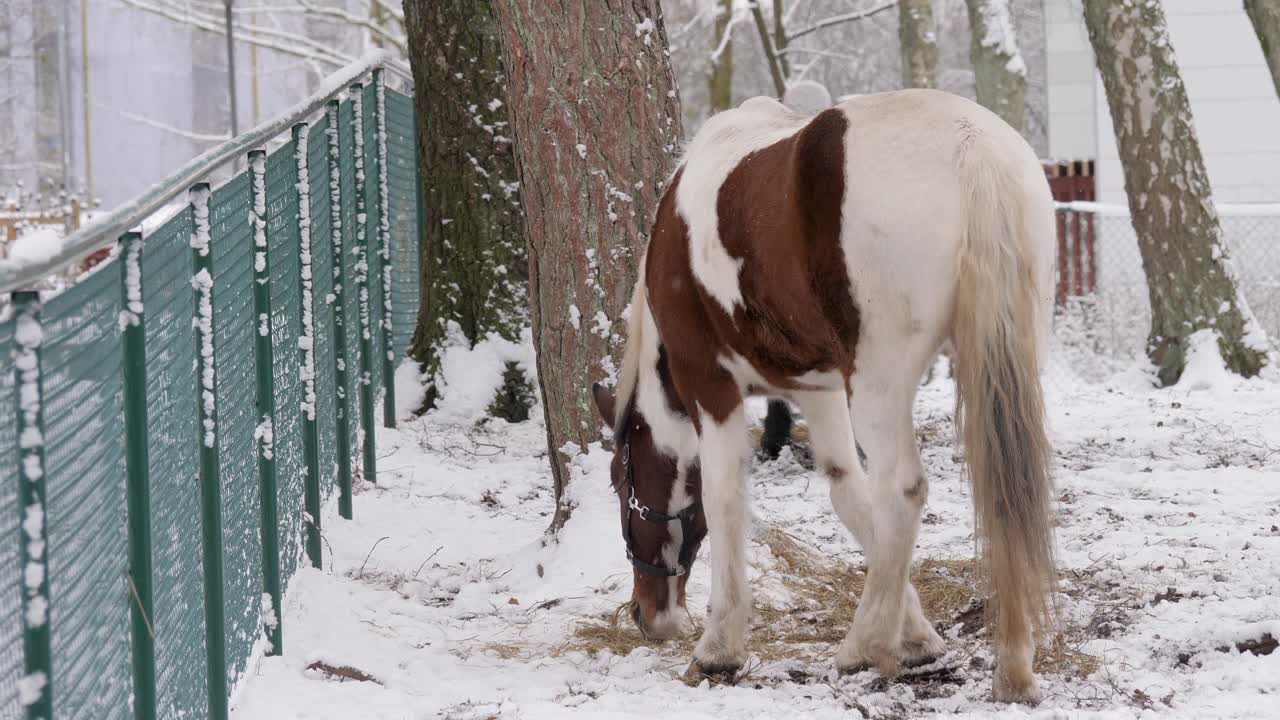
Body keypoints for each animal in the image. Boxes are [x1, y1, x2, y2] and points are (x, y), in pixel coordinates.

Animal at [590, 88, 1057, 704]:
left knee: (903, 490)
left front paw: (719, 649)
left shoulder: (710, 386)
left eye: (623, 486)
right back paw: (1013, 667)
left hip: (879, 386)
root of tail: (973, 147)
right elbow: (848, 496)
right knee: (1005, 497)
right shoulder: (816, 389)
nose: (649, 616)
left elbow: (724, 499)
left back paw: (861, 648)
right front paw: (919, 638)